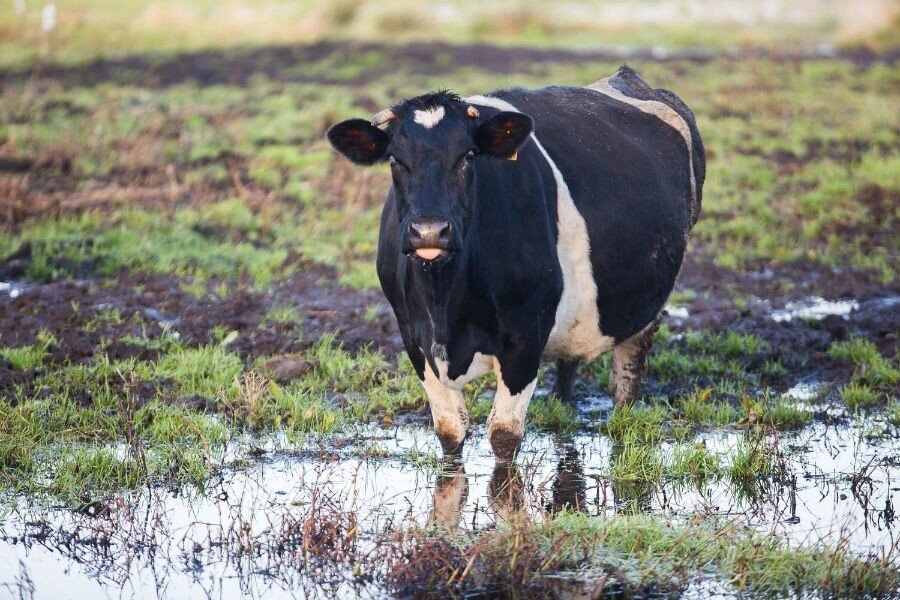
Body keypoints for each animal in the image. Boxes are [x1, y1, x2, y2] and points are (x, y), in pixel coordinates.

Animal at [326, 65, 708, 462]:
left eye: (468, 156)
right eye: (395, 160)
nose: (430, 231)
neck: (445, 301)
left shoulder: (525, 335)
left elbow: (504, 436)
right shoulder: (413, 336)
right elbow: (450, 433)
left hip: (651, 305)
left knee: (626, 380)